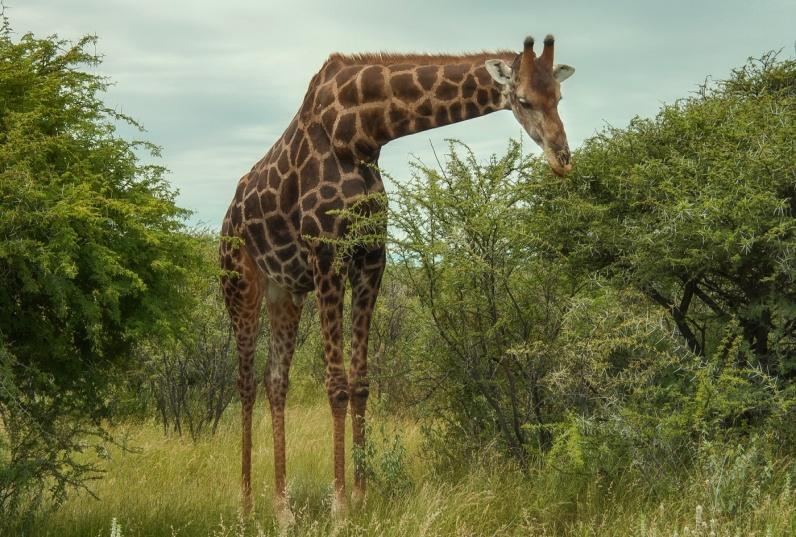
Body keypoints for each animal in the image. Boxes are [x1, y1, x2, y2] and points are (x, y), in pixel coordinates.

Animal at [221, 34, 576, 520]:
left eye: (559, 96)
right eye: (523, 100)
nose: (563, 159)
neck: (362, 134)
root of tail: (226, 220)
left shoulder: (372, 258)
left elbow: (361, 382)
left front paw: (361, 495)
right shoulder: (327, 254)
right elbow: (336, 385)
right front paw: (338, 505)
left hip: (285, 290)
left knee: (277, 382)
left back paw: (283, 508)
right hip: (240, 285)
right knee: (245, 383)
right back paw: (245, 505)